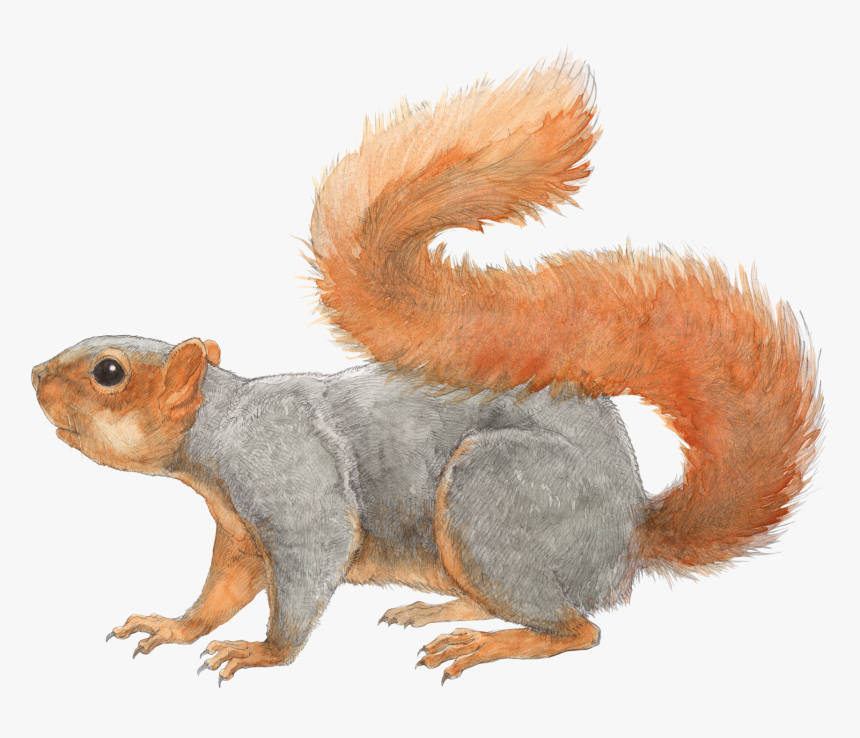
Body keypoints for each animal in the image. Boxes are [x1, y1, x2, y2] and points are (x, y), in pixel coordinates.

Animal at [32, 53, 823, 686]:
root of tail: (630, 533)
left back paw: (486, 643)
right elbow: (220, 592)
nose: (34, 375)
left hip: (494, 496)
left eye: (108, 372)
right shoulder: (237, 534)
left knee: (578, 628)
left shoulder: (292, 487)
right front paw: (174, 626)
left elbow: (308, 570)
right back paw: (440, 608)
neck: (219, 429)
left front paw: (262, 654)